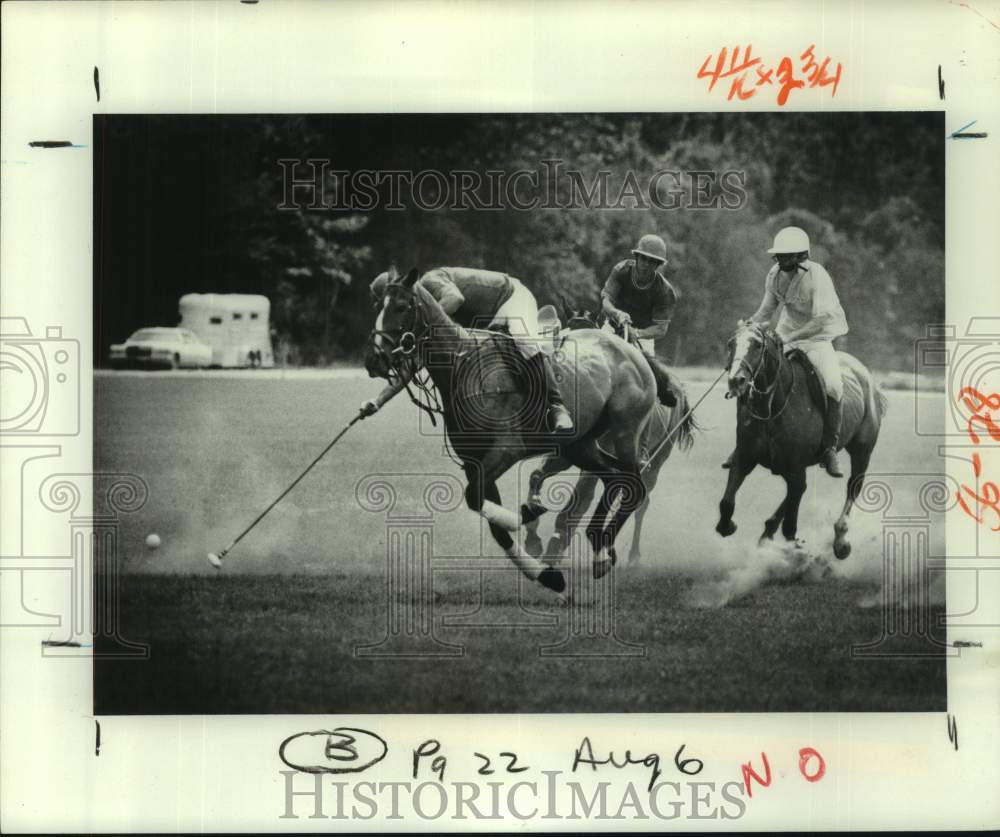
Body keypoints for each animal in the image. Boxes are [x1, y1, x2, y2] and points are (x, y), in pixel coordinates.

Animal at [364, 270, 660, 596]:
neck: (461, 365)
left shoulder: (506, 449)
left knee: (634, 483)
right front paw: (547, 575)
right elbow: (491, 519)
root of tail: (634, 351)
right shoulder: (474, 461)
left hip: (625, 430)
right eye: (377, 305)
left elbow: (474, 498)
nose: (374, 360)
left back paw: (602, 548)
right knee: (614, 477)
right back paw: (599, 549)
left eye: (401, 306)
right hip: (580, 444)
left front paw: (529, 514)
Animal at [716, 324, 888, 560]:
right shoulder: (745, 457)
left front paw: (794, 551)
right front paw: (729, 526)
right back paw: (768, 533)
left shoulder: (795, 467)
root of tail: (867, 376)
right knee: (797, 493)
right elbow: (727, 503)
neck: (772, 408)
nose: (736, 380)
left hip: (862, 451)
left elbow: (790, 524)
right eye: (730, 343)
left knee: (853, 486)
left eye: (758, 345)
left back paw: (841, 540)